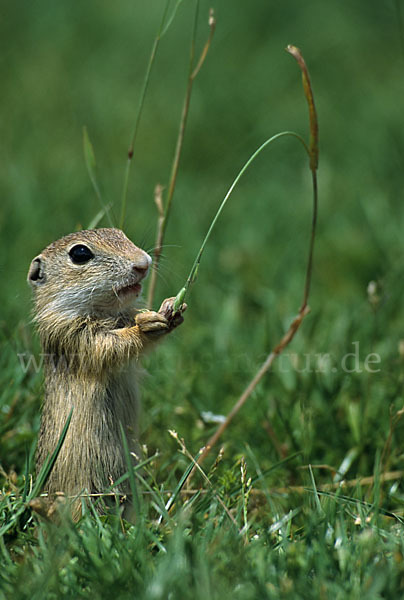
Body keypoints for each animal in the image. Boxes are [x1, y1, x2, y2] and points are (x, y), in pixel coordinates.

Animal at [27, 227, 185, 516]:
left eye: (119, 233)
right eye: (79, 253)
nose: (143, 263)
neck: (106, 312)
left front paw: (171, 308)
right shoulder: (71, 335)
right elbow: (110, 347)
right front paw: (148, 325)